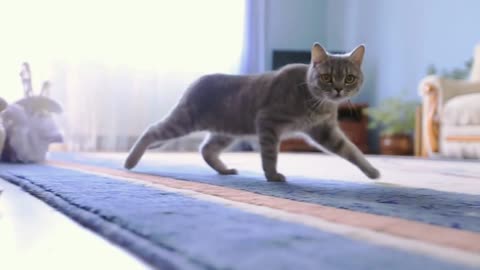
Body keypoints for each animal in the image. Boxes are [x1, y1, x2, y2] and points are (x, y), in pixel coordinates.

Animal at [125, 43, 380, 181]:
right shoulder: (268, 122)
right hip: (185, 120)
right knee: (152, 130)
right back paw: (130, 161)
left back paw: (225, 170)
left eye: (349, 78)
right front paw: (273, 176)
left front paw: (372, 171)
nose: (338, 89)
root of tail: (195, 82)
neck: (318, 102)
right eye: (327, 77)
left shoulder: (324, 131)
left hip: (225, 132)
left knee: (206, 149)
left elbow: (351, 150)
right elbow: (270, 154)